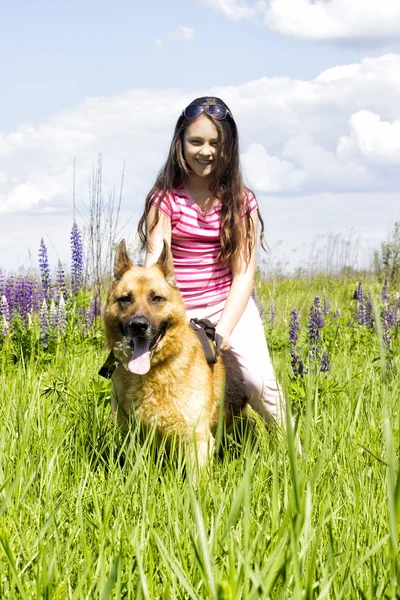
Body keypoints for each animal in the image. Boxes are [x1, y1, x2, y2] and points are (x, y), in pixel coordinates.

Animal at [103, 239, 247, 468]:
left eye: (156, 298)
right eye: (125, 299)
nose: (138, 325)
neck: (152, 373)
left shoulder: (197, 440)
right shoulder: (133, 437)